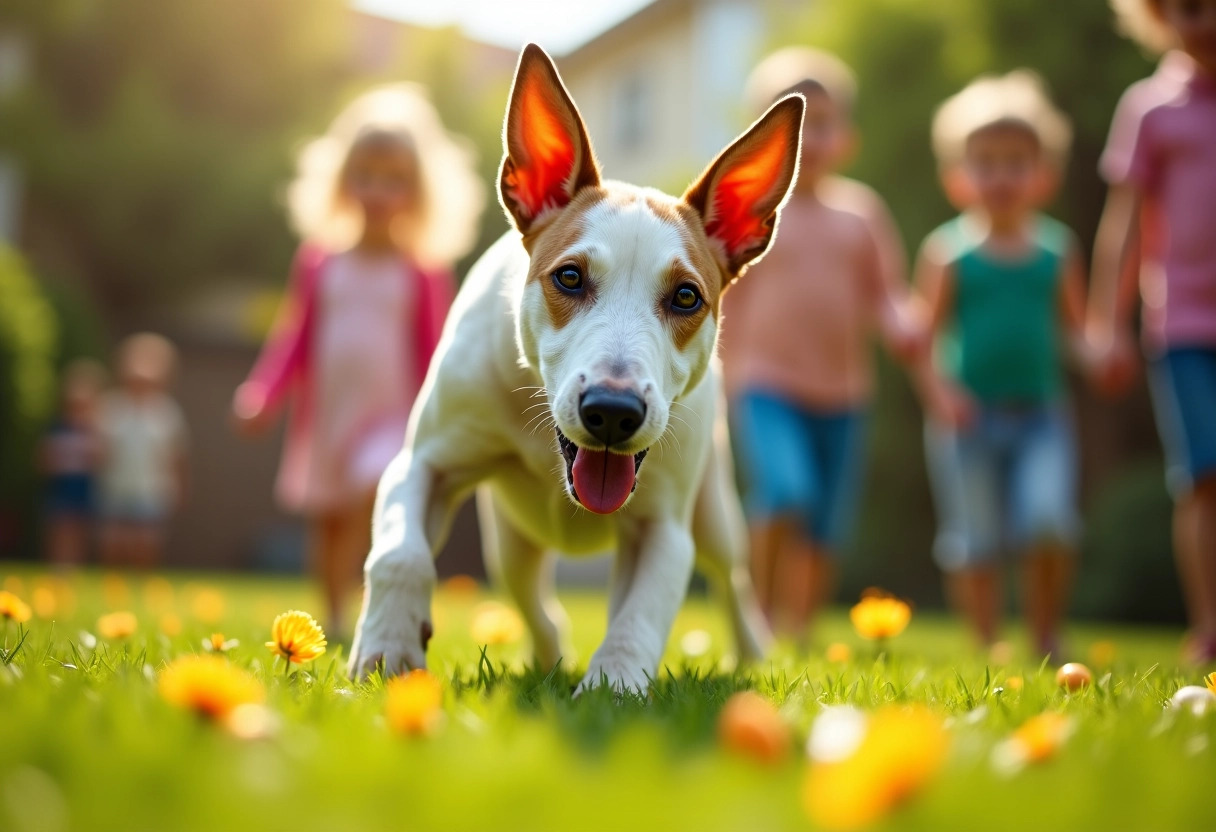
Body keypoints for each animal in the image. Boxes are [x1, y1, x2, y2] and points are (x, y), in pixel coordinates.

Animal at [347, 45, 802, 695]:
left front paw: (614, 687)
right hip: (510, 544)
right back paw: (545, 658)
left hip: (715, 514)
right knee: (537, 605)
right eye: (569, 276)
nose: (612, 412)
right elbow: (399, 551)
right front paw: (388, 646)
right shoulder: (424, 463)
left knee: (730, 578)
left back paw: (753, 650)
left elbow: (643, 610)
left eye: (686, 296)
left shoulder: (665, 527)